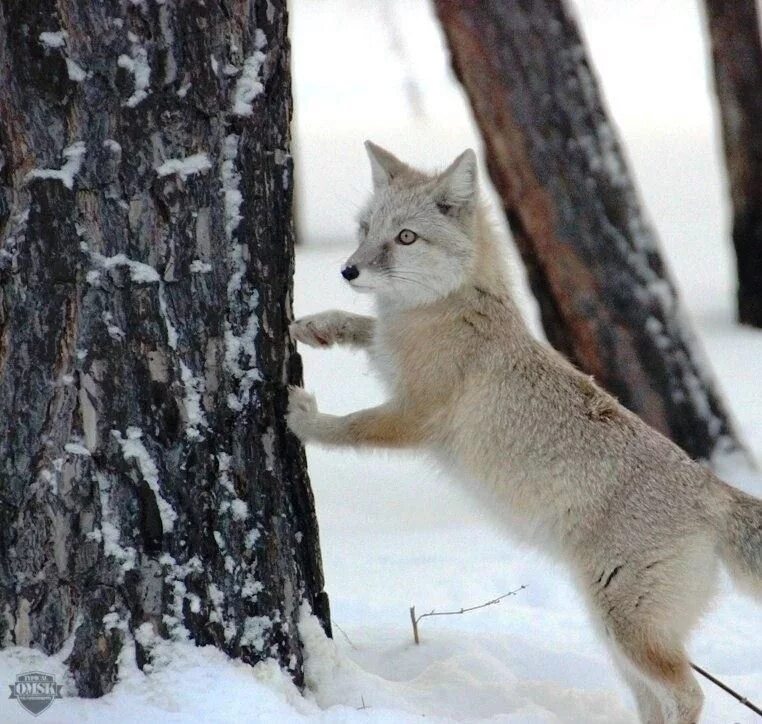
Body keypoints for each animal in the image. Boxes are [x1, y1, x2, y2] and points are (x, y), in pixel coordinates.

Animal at [286, 143, 760, 724]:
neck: (454, 309)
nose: (348, 269)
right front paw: (317, 325)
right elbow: (364, 328)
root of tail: (712, 487)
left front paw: (304, 419)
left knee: (689, 694)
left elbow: (349, 427)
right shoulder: (391, 358)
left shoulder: (413, 417)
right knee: (659, 699)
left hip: (626, 630)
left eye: (406, 238)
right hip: (615, 635)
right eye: (366, 228)